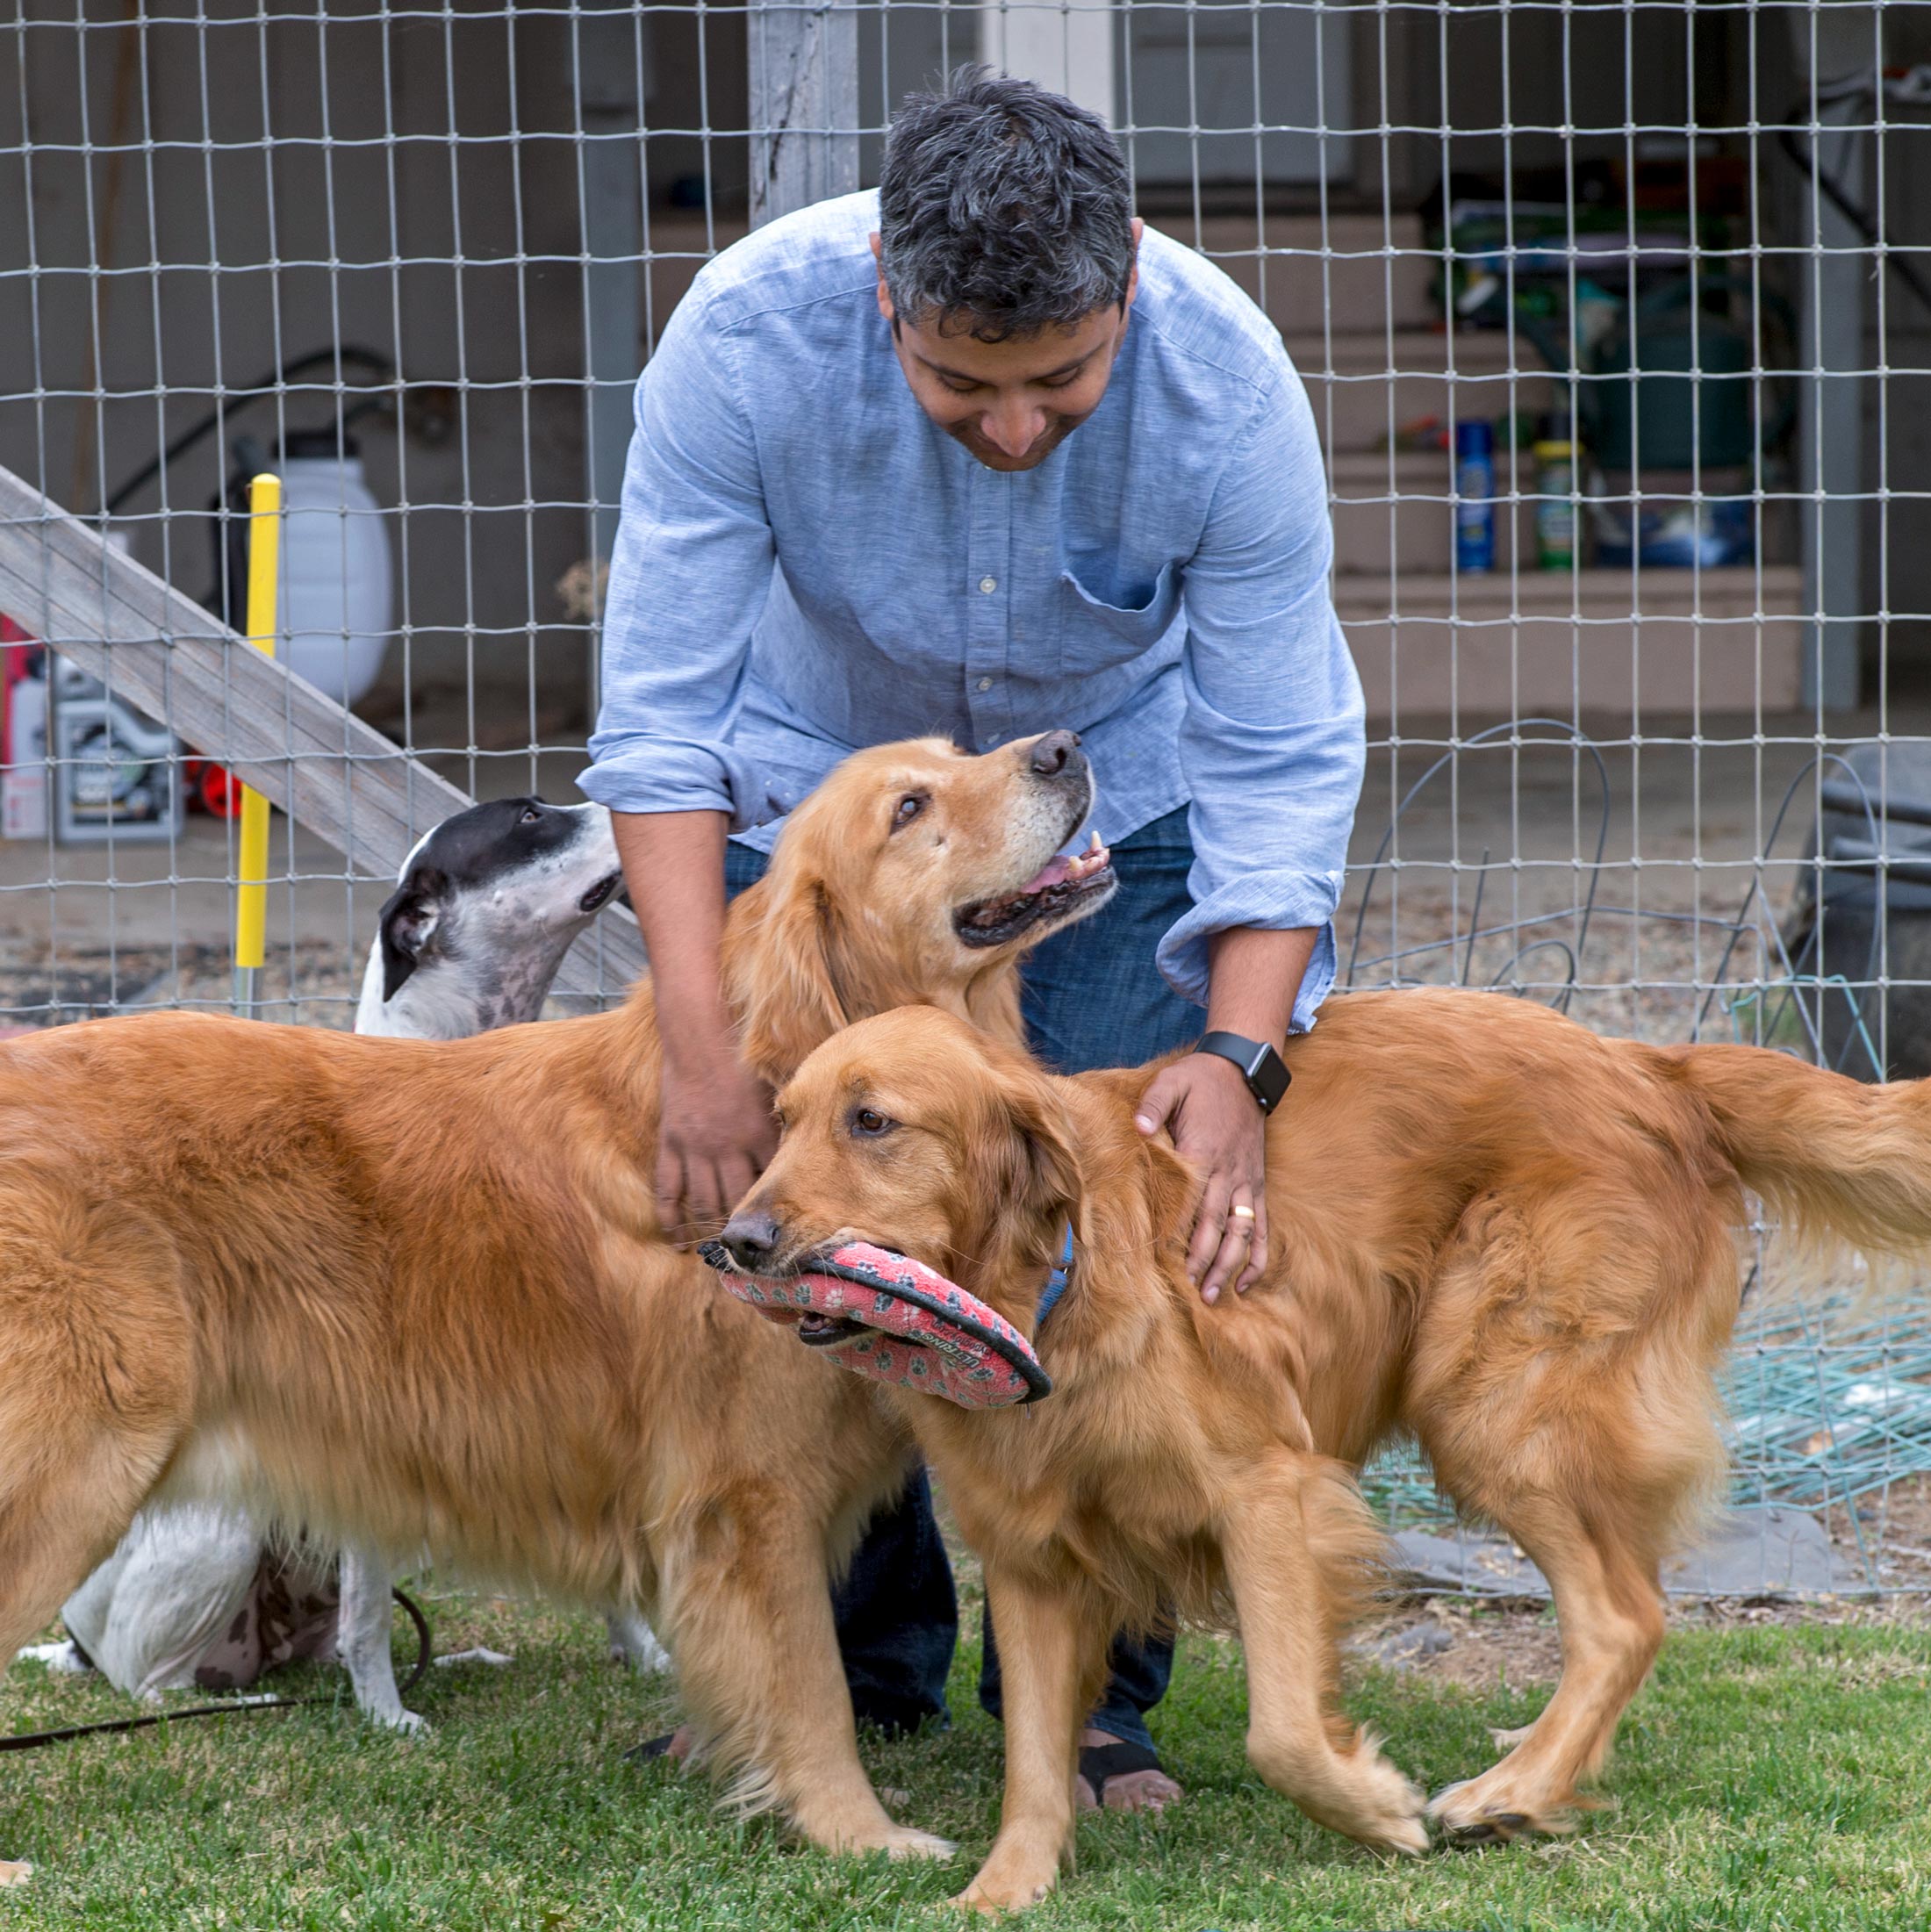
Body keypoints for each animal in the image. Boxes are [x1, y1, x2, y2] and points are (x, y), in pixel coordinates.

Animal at [27, 797, 667, 1722]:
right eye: (529, 815)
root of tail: (74, 1643)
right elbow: (370, 1619)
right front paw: (389, 1717)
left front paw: (646, 1658)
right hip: (221, 1532)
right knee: (159, 1683)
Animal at [722, 992, 1931, 1911]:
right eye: (783, 1119)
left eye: (872, 1120)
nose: (732, 1240)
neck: (1055, 1290)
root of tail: (1652, 1064)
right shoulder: (1031, 1556)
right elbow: (1030, 1754)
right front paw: (1004, 1887)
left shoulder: (1268, 1488)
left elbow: (1286, 1730)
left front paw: (1377, 1810)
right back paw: (1537, 1763)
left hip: (1491, 1406)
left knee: (1625, 1614)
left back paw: (1509, 1788)